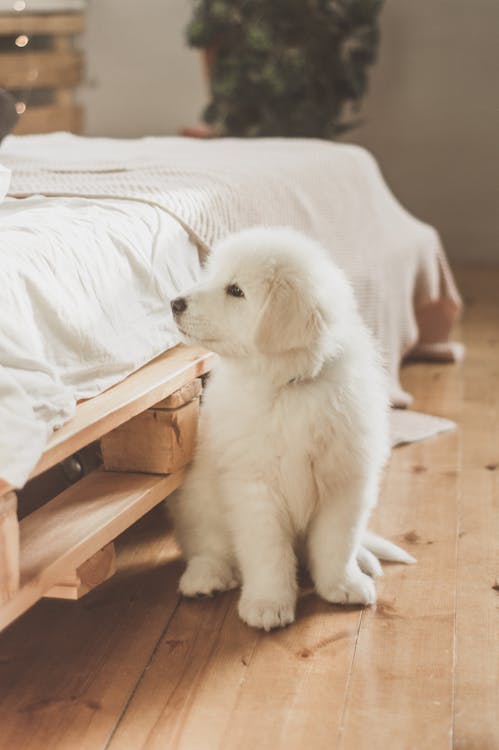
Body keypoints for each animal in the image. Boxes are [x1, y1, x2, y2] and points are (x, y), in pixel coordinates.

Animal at [170, 226, 412, 632]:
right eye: (211, 277)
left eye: (235, 290)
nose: (174, 302)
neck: (290, 387)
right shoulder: (255, 486)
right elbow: (268, 552)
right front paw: (268, 604)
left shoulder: (344, 480)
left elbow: (337, 542)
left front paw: (341, 585)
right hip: (198, 499)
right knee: (208, 546)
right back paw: (205, 578)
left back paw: (364, 561)